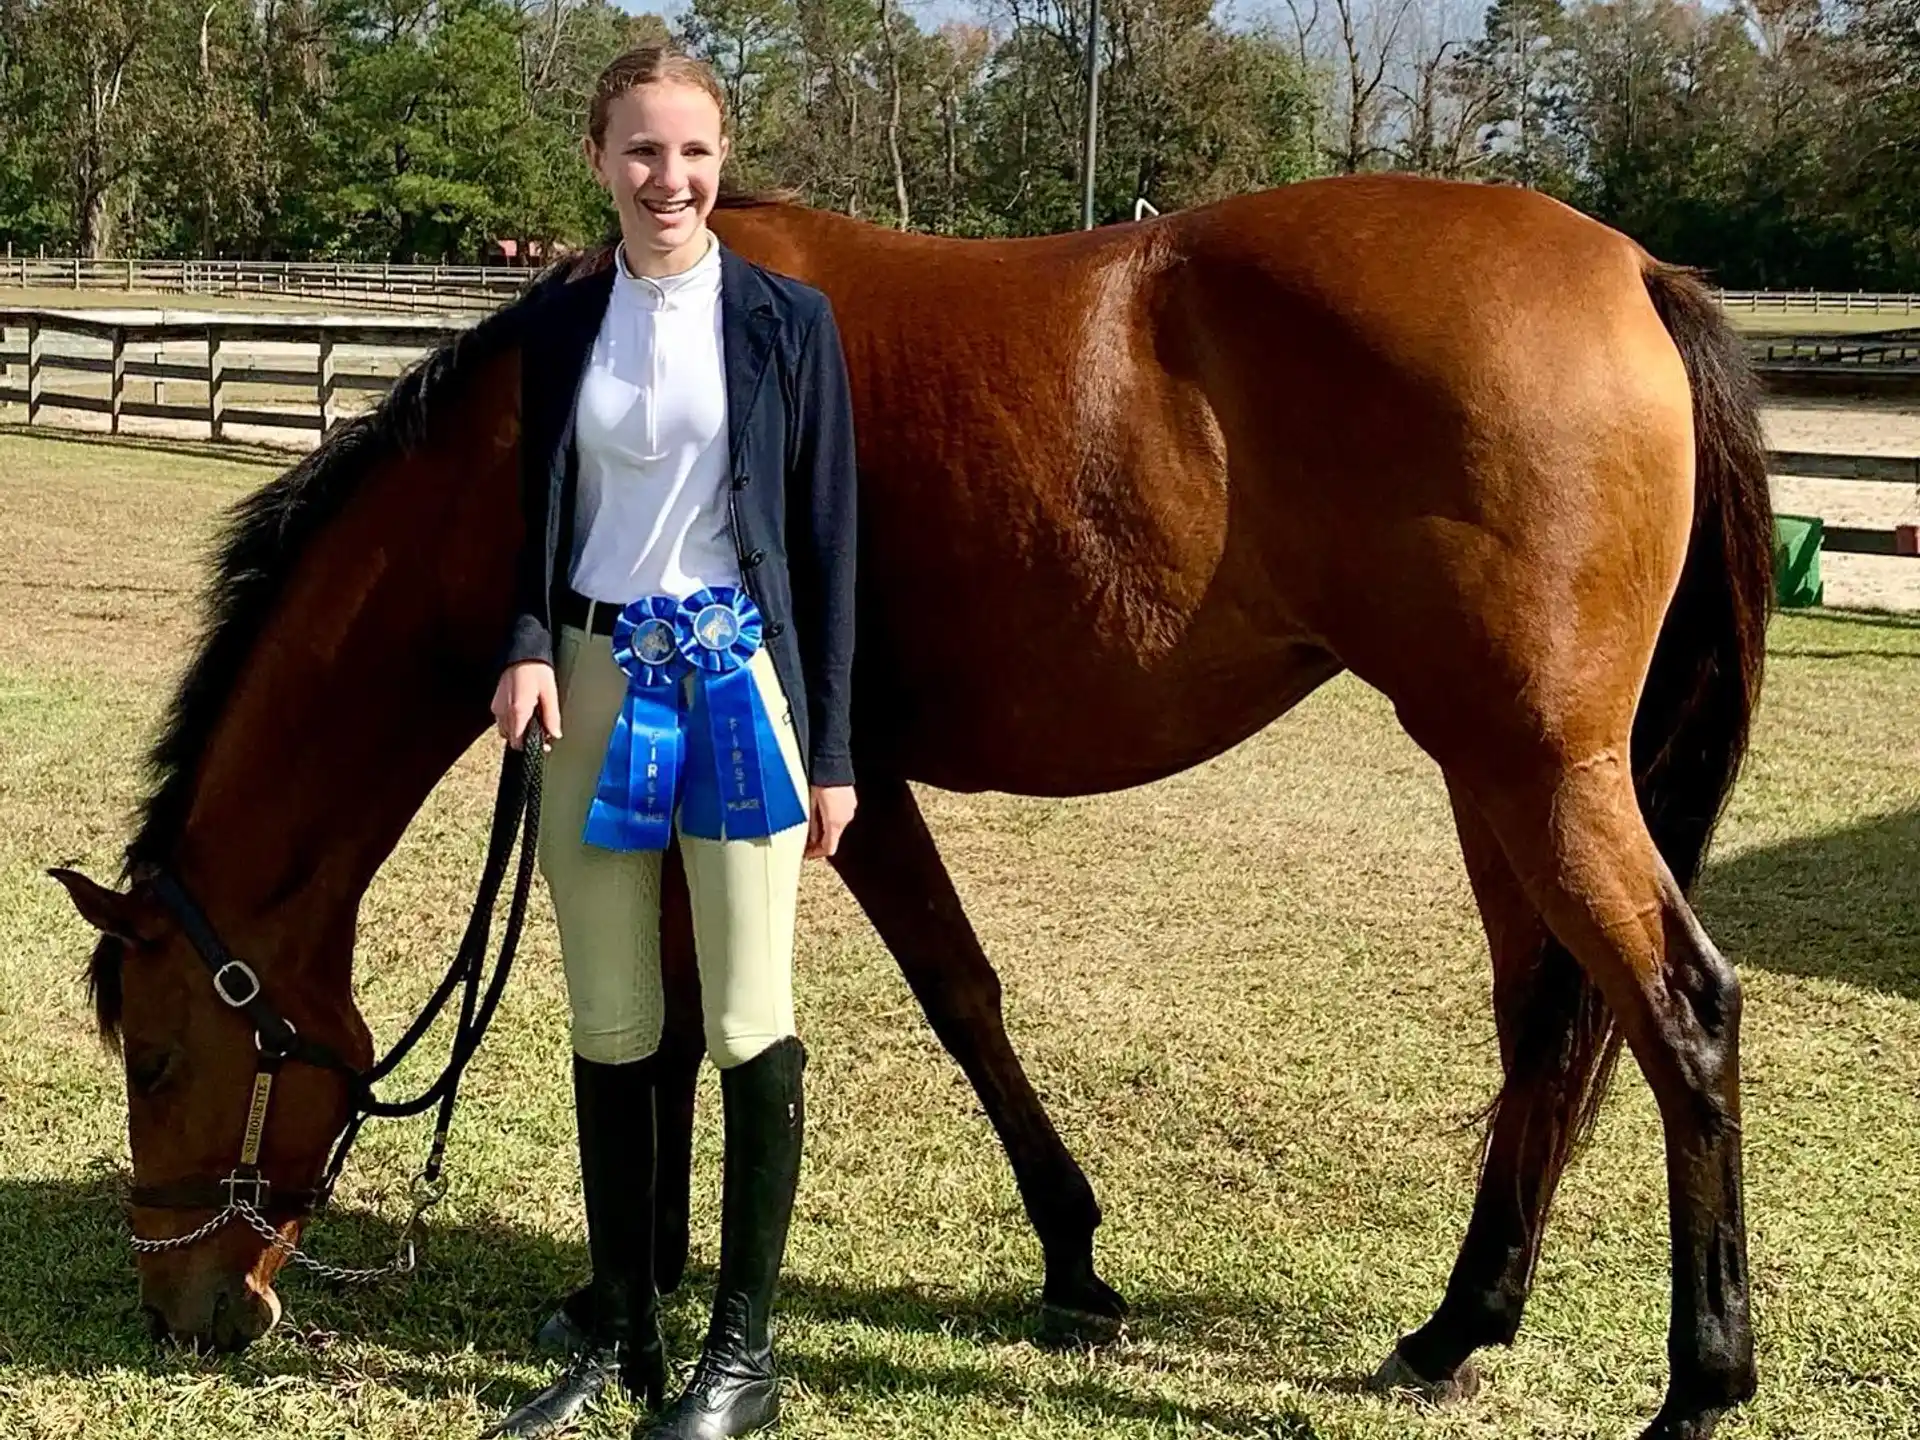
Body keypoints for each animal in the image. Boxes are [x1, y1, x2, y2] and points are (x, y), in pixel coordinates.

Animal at [51, 172, 1773, 1440]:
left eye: (160, 1055)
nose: (183, 1312)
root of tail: (1631, 269)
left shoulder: (835, 786)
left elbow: (940, 997)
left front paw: (1059, 1255)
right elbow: (683, 1031)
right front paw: (644, 1279)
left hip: (1536, 775)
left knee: (1680, 1010)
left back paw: (1701, 1382)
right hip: (1499, 778)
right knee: (1548, 1025)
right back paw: (1458, 1325)